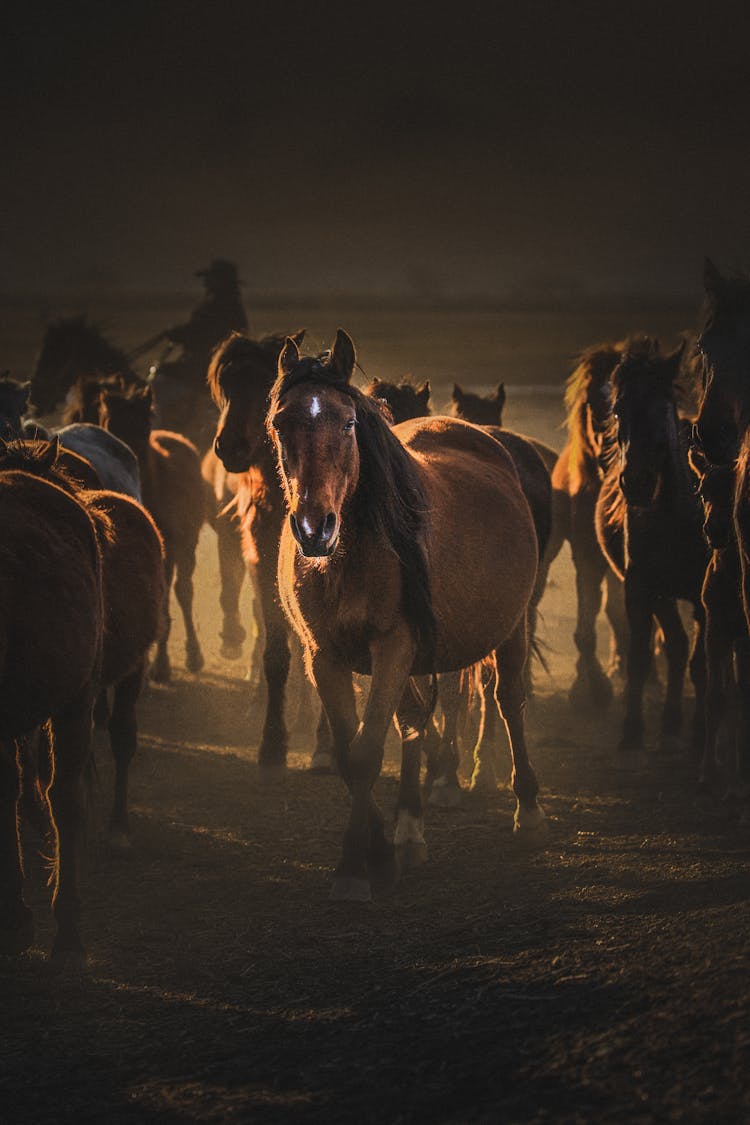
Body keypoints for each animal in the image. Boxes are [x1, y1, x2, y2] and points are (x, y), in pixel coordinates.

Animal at [99, 382, 206, 679]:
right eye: (110, 423)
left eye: (144, 422)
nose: (128, 458)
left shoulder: (168, 548)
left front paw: (161, 665)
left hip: (188, 544)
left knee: (184, 591)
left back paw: (193, 655)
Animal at [268, 328, 546, 900]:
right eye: (281, 424)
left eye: (348, 423)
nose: (314, 528)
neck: (348, 557)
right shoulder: (324, 657)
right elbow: (352, 754)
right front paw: (376, 852)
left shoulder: (393, 646)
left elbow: (367, 752)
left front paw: (356, 867)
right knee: (416, 721)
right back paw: (410, 828)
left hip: (509, 628)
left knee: (509, 702)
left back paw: (528, 813)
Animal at [593, 337, 710, 760]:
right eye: (617, 409)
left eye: (663, 407)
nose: (637, 482)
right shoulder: (641, 588)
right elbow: (641, 659)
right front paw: (632, 731)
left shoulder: (702, 597)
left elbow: (700, 664)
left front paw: (700, 736)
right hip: (660, 595)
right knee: (674, 645)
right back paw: (671, 719)